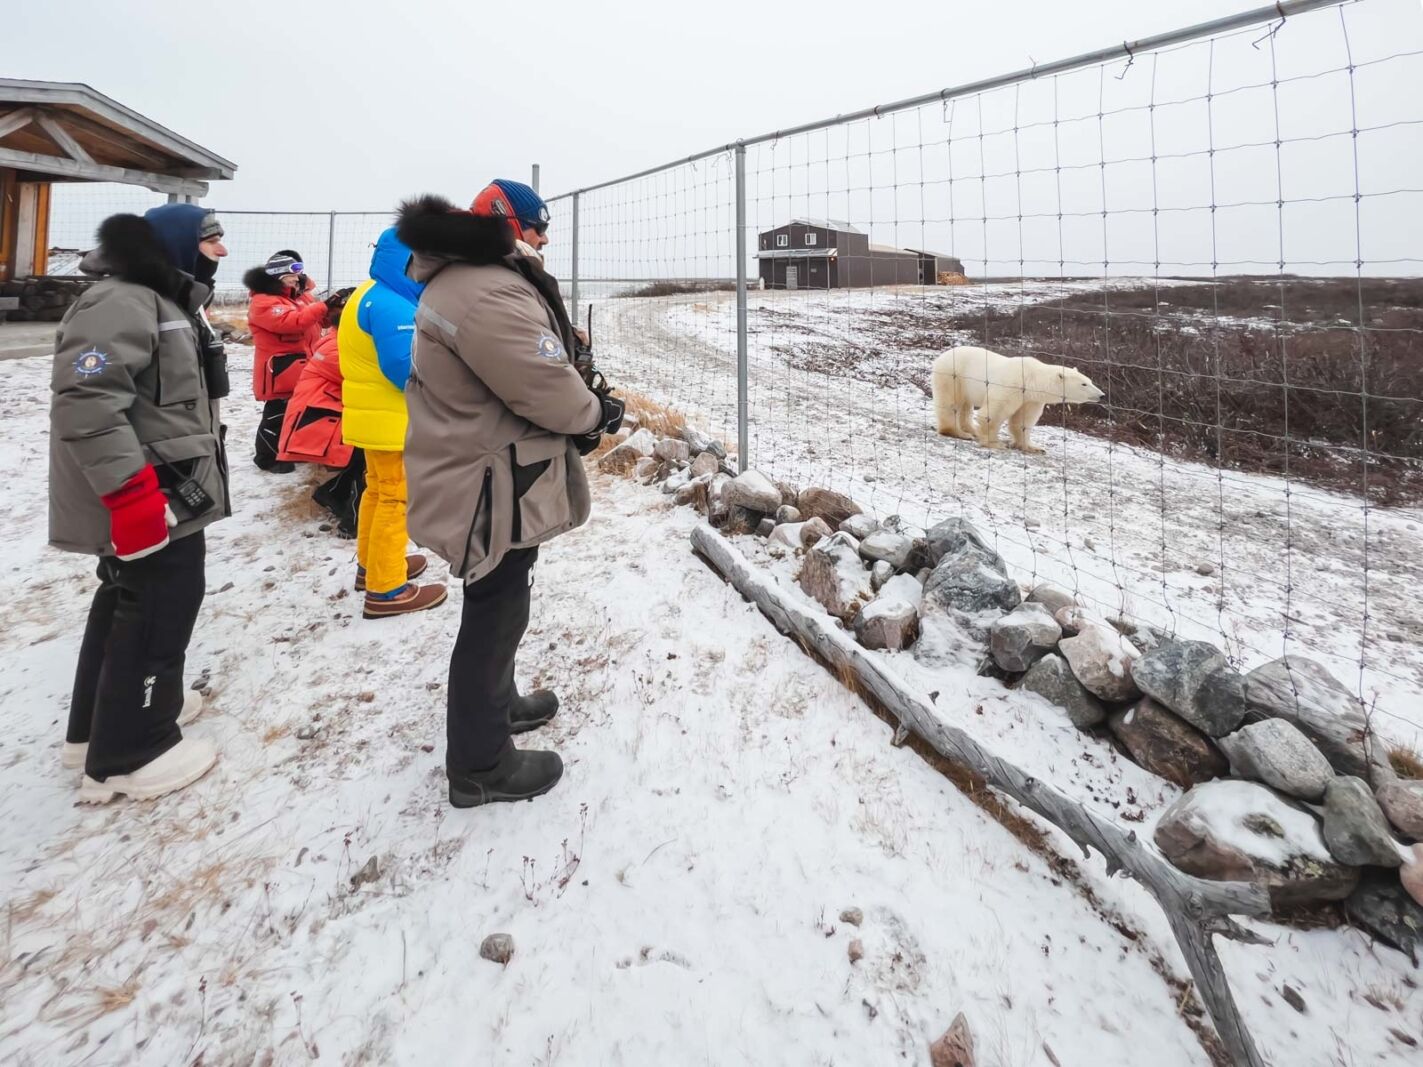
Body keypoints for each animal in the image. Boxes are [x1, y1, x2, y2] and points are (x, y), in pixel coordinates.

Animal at [927, 348, 1104, 452]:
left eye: (1090, 380)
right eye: (1084, 383)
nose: (1102, 395)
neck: (1032, 378)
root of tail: (941, 356)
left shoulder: (1031, 398)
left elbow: (1023, 421)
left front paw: (1033, 447)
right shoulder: (1012, 385)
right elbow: (994, 413)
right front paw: (995, 443)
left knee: (965, 405)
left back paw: (972, 430)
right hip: (953, 375)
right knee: (950, 403)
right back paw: (959, 433)